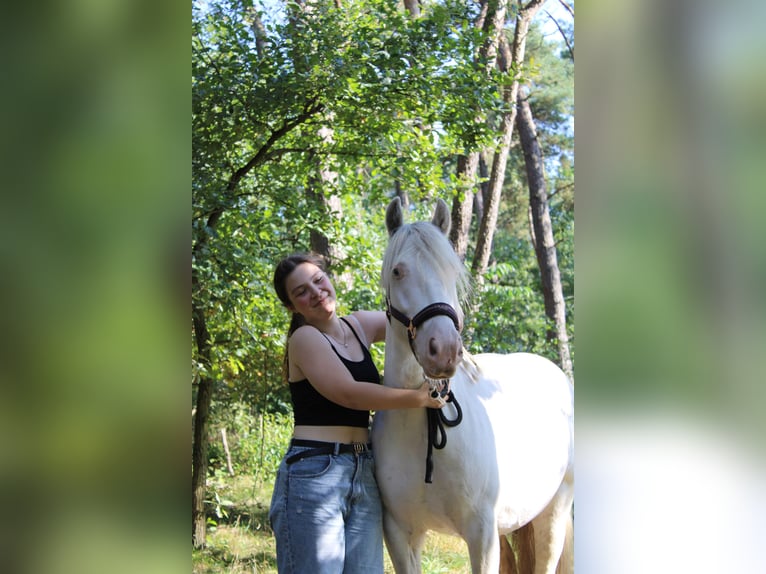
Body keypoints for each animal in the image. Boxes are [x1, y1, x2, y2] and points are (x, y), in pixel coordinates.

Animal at [368, 199, 572, 574]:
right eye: (398, 271)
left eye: (451, 272)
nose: (445, 349)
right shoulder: (401, 535)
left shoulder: (482, 536)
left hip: (552, 513)